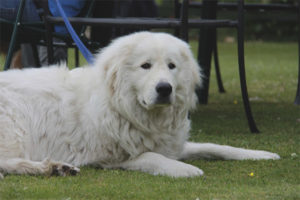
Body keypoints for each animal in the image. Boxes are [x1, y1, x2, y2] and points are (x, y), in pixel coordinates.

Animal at [0, 32, 278, 179]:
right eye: (145, 66)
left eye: (171, 66)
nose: (164, 88)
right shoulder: (112, 159)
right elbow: (152, 156)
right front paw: (185, 169)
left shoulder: (171, 144)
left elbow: (216, 146)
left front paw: (260, 154)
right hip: (16, 128)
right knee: (7, 162)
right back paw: (49, 167)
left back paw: (58, 167)